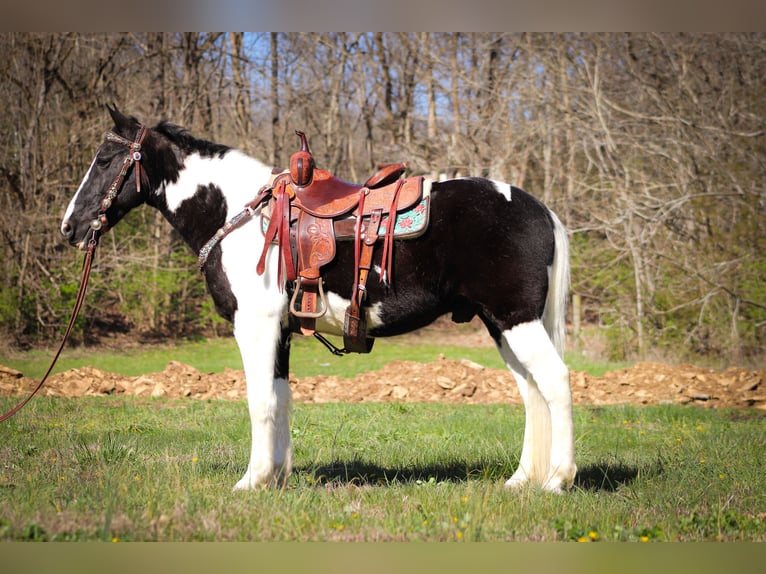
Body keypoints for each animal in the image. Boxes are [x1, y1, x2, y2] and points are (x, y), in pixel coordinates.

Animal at [61, 109, 576, 496]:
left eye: (105, 160)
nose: (69, 227)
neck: (237, 215)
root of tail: (539, 208)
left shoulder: (255, 326)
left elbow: (259, 401)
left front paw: (251, 481)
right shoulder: (281, 332)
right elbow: (281, 398)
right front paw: (276, 476)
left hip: (516, 321)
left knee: (554, 382)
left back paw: (557, 480)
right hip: (501, 325)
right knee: (532, 392)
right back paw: (522, 479)